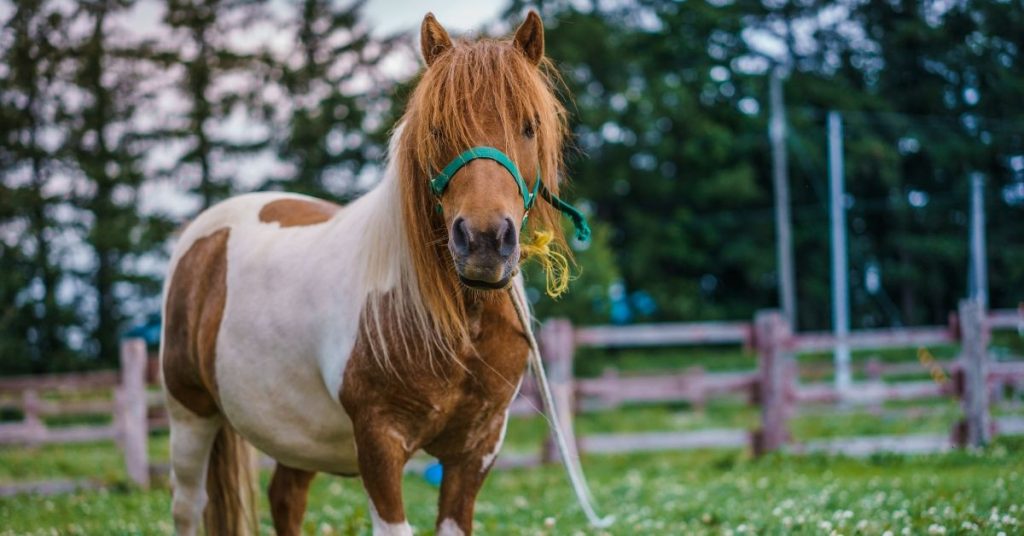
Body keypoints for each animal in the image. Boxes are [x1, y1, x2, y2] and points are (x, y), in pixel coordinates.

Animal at [160, 11, 584, 535]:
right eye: (437, 128)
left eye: (529, 126)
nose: (485, 243)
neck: (457, 324)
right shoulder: (380, 443)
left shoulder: (475, 450)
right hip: (190, 413)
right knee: (188, 505)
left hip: (297, 436)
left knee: (285, 498)